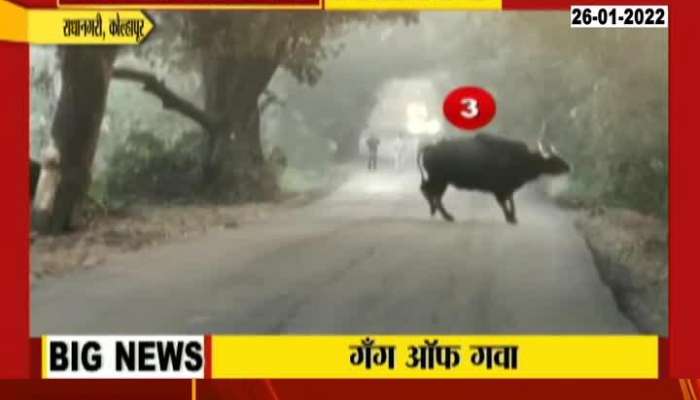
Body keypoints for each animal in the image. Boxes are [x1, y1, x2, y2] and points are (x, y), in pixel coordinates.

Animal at [416, 133, 568, 223]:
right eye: (554, 160)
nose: (568, 167)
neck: (521, 159)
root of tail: (430, 147)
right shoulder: (500, 188)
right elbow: (504, 202)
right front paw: (509, 217)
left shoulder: (507, 187)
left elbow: (510, 200)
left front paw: (513, 216)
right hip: (439, 179)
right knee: (430, 193)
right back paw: (444, 215)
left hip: (440, 180)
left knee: (429, 192)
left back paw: (438, 212)